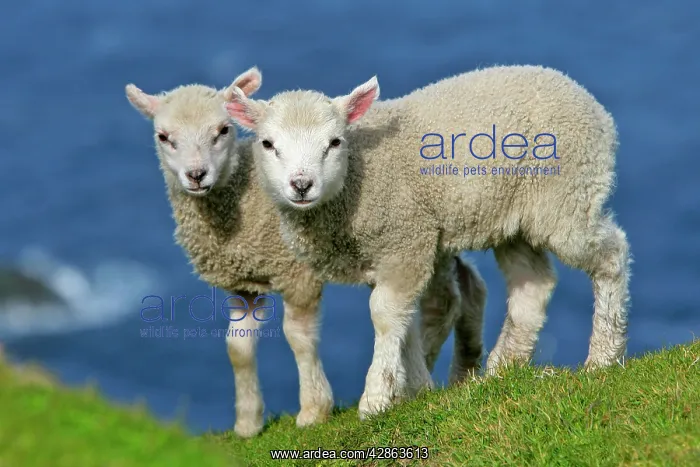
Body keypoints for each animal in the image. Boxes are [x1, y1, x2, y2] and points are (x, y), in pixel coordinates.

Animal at [124, 68, 488, 436]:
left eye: (223, 130)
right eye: (163, 137)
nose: (196, 175)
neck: (240, 198)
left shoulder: (297, 274)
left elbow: (298, 337)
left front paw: (314, 409)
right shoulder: (243, 285)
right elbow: (237, 348)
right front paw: (247, 423)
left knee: (439, 302)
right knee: (465, 288)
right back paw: (456, 369)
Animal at [225, 64, 631, 418]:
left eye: (334, 142)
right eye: (267, 144)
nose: (301, 184)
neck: (356, 180)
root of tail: (590, 103)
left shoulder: (405, 240)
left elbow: (385, 315)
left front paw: (376, 398)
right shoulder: (392, 254)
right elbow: (404, 321)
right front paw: (416, 388)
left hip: (566, 196)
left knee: (611, 254)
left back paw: (602, 356)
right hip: (515, 214)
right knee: (532, 283)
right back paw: (502, 368)